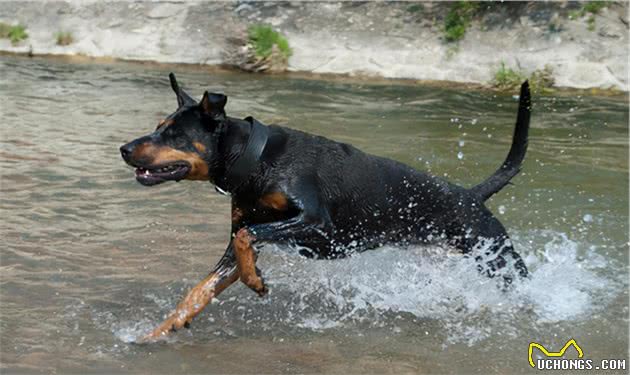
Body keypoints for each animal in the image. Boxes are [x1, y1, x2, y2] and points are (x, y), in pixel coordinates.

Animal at [119, 73, 532, 340]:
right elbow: (202, 287)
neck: (256, 161)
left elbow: (248, 236)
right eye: (158, 125)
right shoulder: (241, 239)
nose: (124, 148)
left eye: (175, 134)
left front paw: (257, 282)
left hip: (499, 258)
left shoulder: (318, 224)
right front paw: (158, 331)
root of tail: (472, 194)